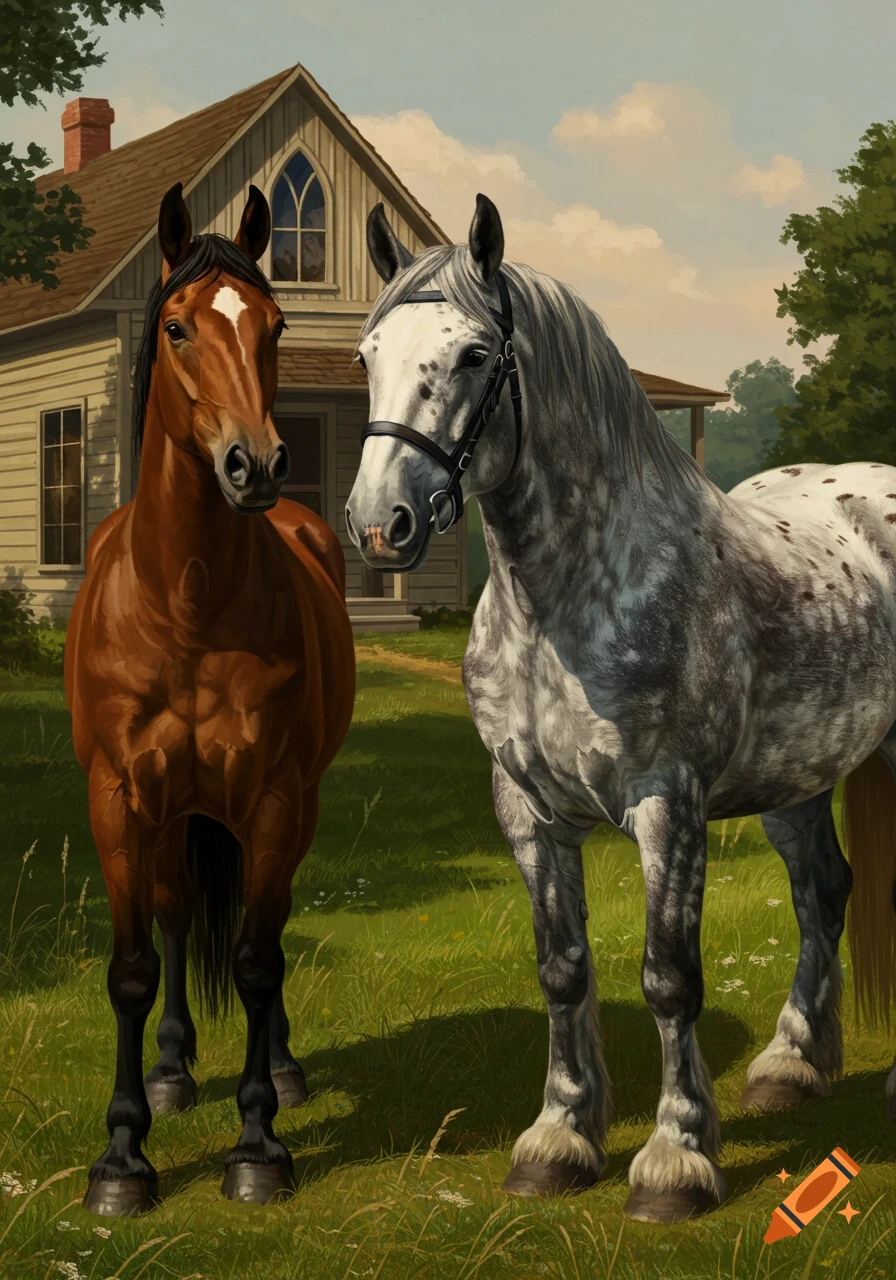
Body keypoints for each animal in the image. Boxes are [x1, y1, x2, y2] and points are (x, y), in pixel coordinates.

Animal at [64, 182, 355, 1216]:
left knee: (265, 932)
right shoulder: (117, 800)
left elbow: (260, 960)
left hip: (290, 805)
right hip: (171, 813)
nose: (255, 466)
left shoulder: (271, 797)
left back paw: (284, 1069)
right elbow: (133, 967)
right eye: (179, 327)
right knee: (178, 915)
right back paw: (171, 1071)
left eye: (275, 325)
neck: (184, 601)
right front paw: (122, 1157)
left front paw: (259, 1144)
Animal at [346, 193, 896, 1223]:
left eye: (474, 355)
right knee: (822, 891)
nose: (377, 526)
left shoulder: (666, 806)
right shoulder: (528, 811)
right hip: (796, 778)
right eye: (366, 354)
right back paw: (791, 1066)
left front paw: (676, 1162)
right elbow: (563, 970)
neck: (562, 599)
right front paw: (558, 1142)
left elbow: (669, 977)